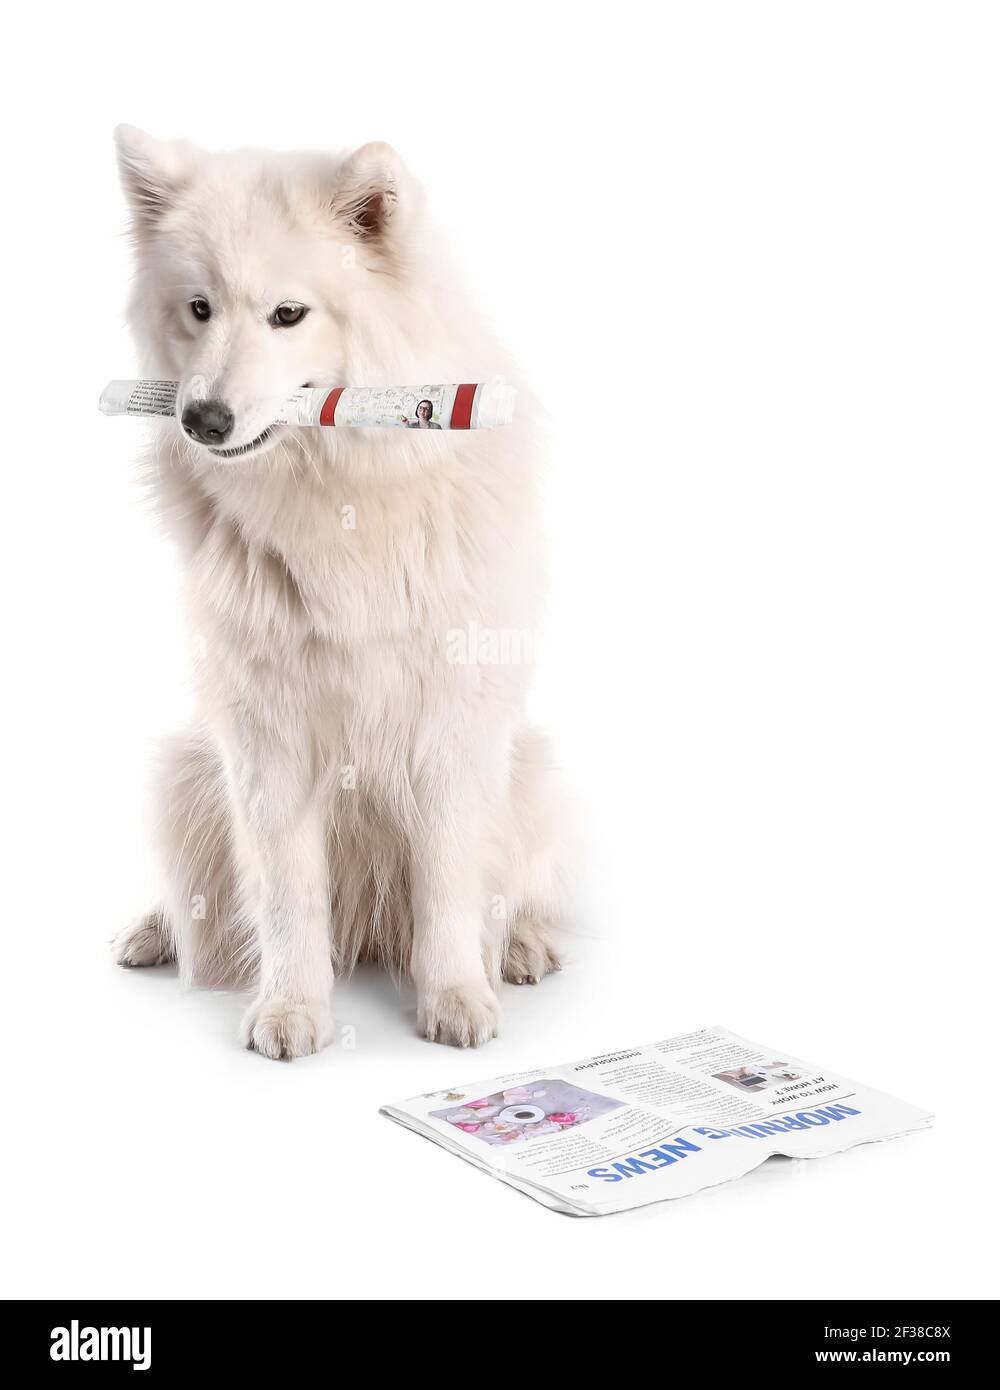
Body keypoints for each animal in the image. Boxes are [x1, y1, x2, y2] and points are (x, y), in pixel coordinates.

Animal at [109, 132, 570, 1061]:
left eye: (289, 315)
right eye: (198, 309)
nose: (202, 420)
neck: (341, 496)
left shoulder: (451, 726)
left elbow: (450, 883)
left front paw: (455, 997)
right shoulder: (265, 736)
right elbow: (286, 892)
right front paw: (292, 1010)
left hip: (533, 770)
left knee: (517, 889)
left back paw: (526, 946)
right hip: (183, 772)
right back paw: (153, 933)